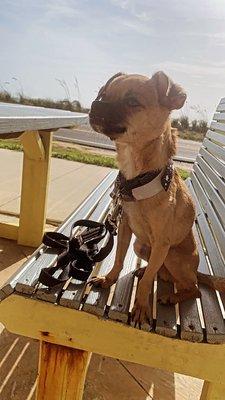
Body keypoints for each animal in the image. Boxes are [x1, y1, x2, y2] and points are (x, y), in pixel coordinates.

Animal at [89, 72, 225, 326]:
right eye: (102, 94)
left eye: (132, 101)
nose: (95, 104)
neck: (137, 177)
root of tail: (196, 271)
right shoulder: (125, 229)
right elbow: (118, 259)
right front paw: (109, 279)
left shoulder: (162, 244)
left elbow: (144, 285)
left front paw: (141, 306)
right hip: (140, 246)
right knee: (161, 273)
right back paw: (147, 271)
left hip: (171, 255)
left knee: (193, 289)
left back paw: (172, 296)